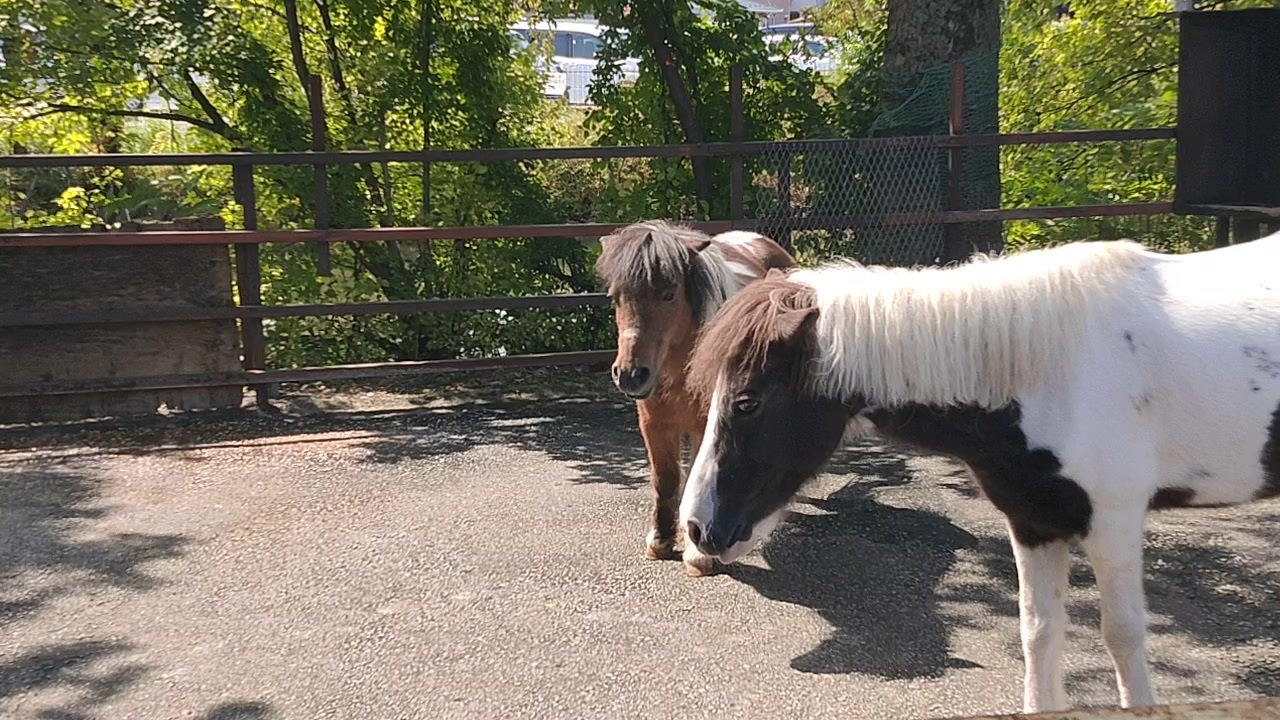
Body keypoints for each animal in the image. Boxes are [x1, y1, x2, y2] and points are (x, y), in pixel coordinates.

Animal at [593, 215, 793, 573]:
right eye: (616, 297)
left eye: (669, 294)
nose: (630, 374)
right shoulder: (654, 425)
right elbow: (667, 481)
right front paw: (660, 541)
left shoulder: (707, 426)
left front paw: (699, 555)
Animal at [686, 228, 1280, 707]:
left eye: (748, 402)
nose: (696, 529)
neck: (1051, 373)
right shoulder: (1035, 521)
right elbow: (1038, 633)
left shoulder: (1113, 524)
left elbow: (1123, 636)